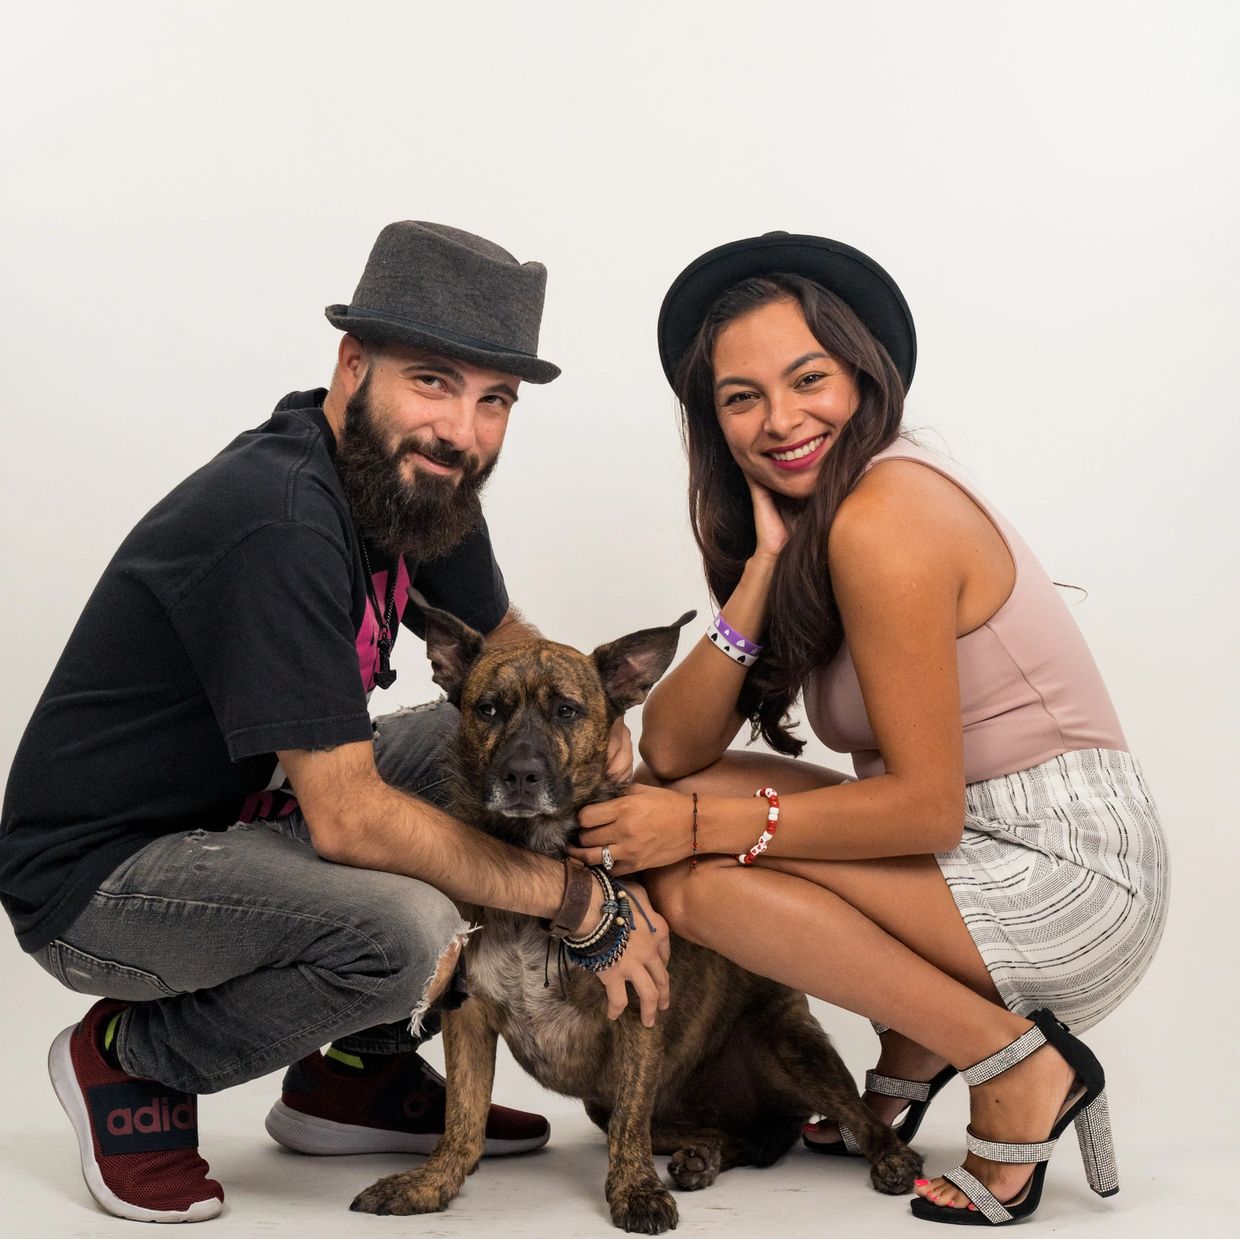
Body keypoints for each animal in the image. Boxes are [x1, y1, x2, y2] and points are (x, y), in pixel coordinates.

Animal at [349, 597, 922, 1230]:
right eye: (488, 709)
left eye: (567, 710)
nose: (521, 775)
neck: (539, 852)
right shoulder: (469, 1015)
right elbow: (463, 1120)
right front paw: (431, 1184)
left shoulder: (638, 1009)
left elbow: (630, 1124)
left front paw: (635, 1192)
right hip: (633, 1104)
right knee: (729, 1137)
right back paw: (704, 1158)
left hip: (791, 1045)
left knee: (855, 1120)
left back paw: (891, 1158)